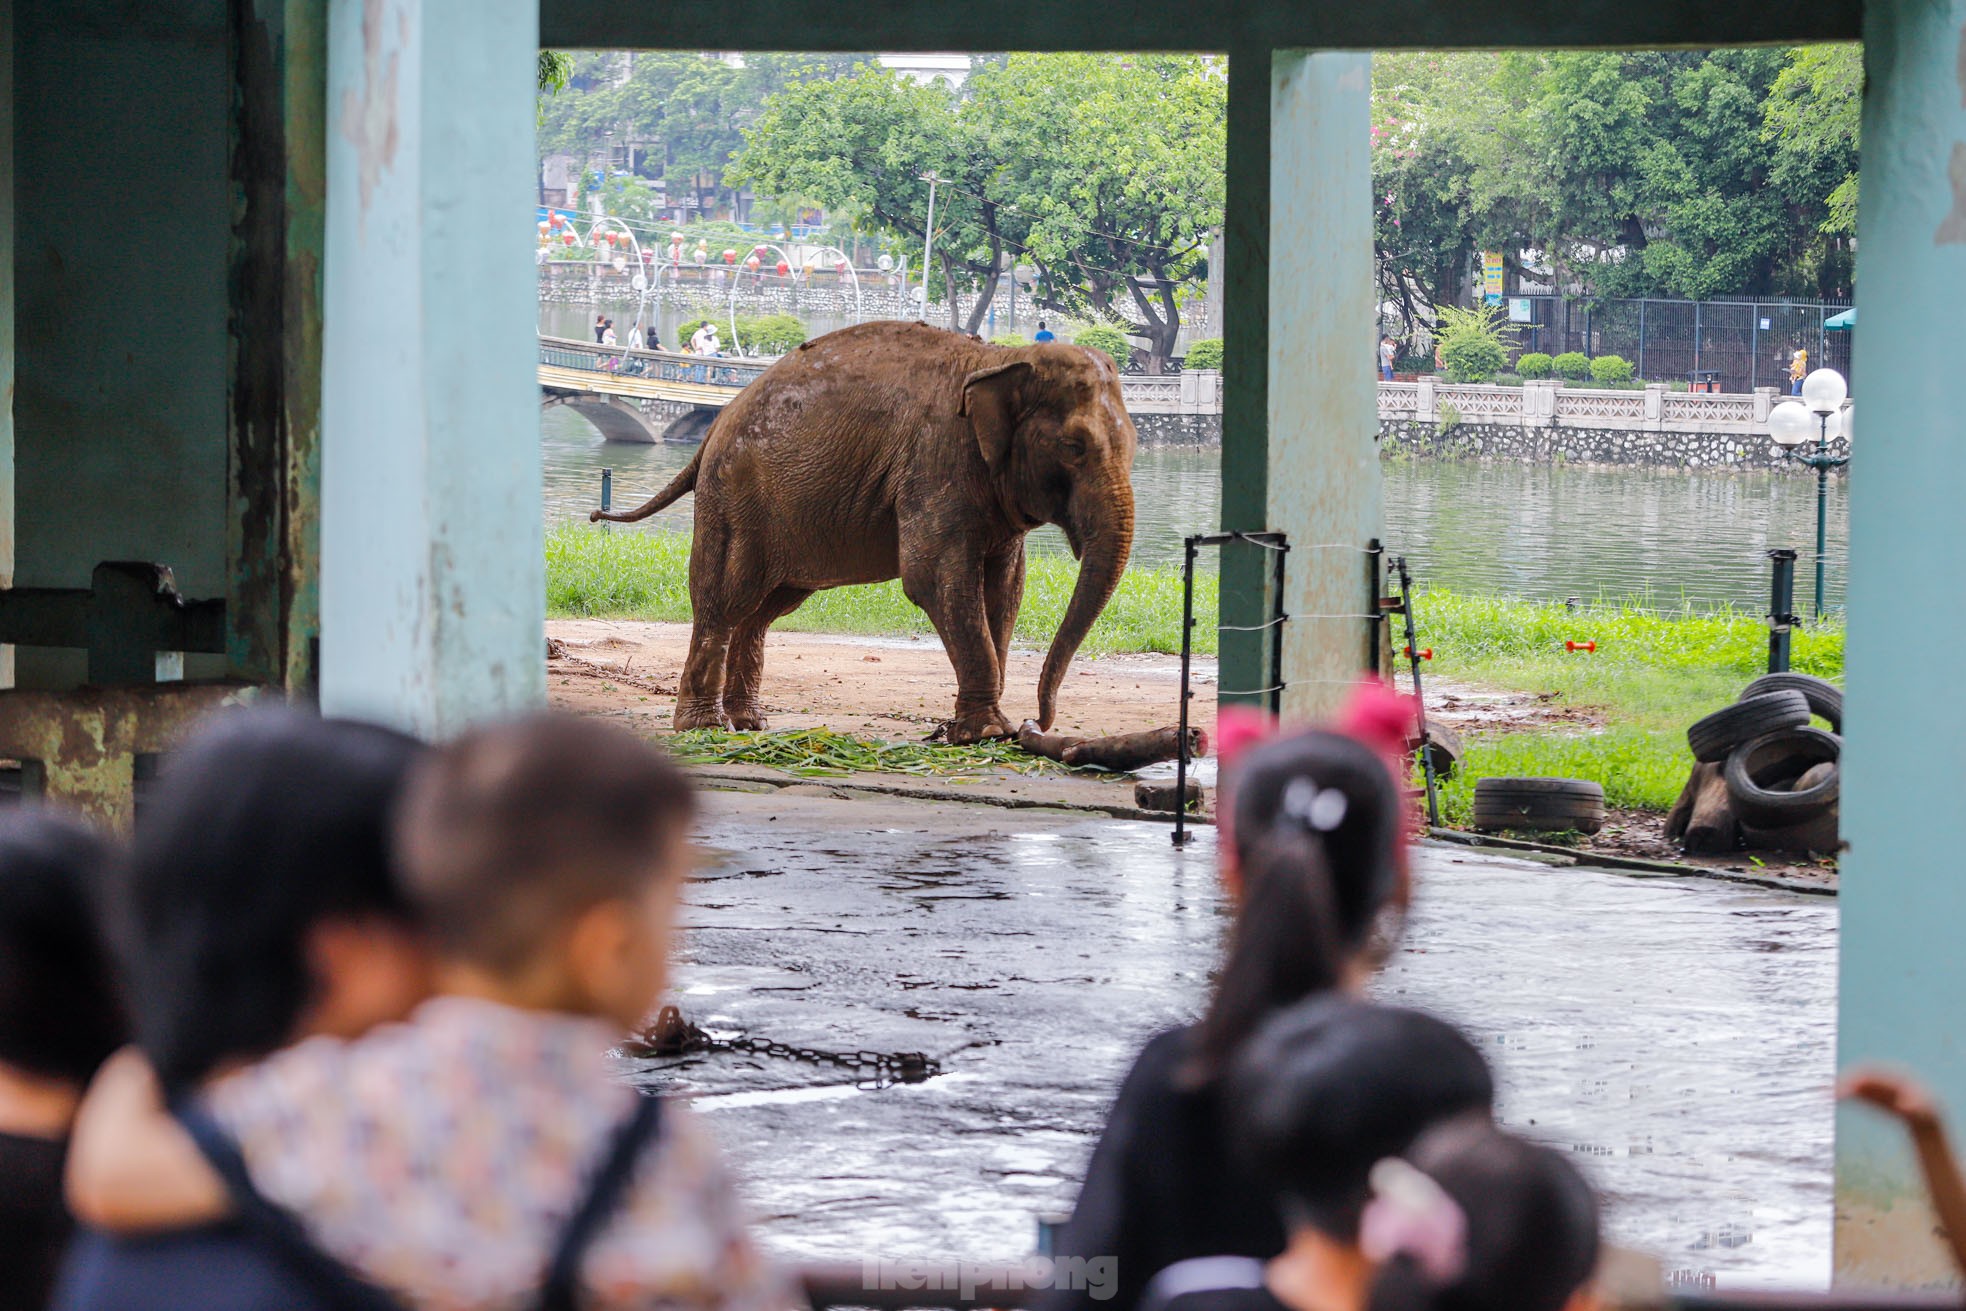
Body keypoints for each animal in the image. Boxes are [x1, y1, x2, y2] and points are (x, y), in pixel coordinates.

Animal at [585, 322, 1140, 742]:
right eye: (1073, 447)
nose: (1037, 722)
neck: (1001, 356)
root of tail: (713, 426)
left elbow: (1003, 591)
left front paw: (974, 730)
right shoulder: (936, 460)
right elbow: (935, 580)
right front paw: (987, 733)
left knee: (764, 608)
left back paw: (748, 722)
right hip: (732, 499)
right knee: (725, 598)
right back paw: (705, 728)